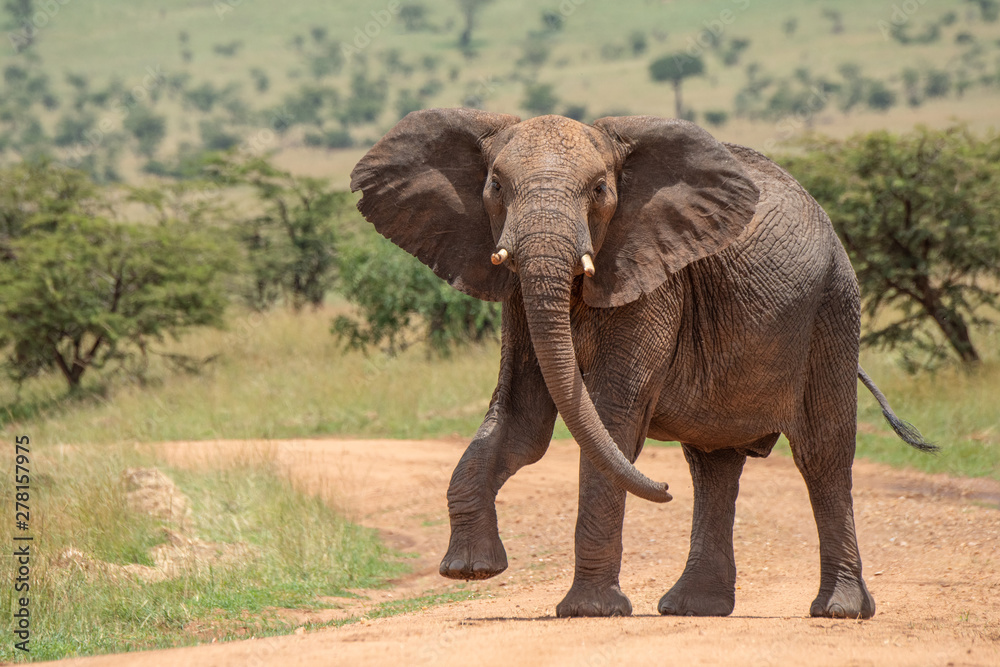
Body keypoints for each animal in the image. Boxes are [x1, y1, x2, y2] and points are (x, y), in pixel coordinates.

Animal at [348, 108, 932, 620]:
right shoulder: (517, 293)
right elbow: (520, 422)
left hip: (832, 310)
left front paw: (588, 612)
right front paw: (470, 570)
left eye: (600, 191)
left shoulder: (653, 280)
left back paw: (839, 612)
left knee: (822, 455)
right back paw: (694, 608)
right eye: (494, 186)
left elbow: (610, 420)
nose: (661, 489)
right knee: (714, 465)